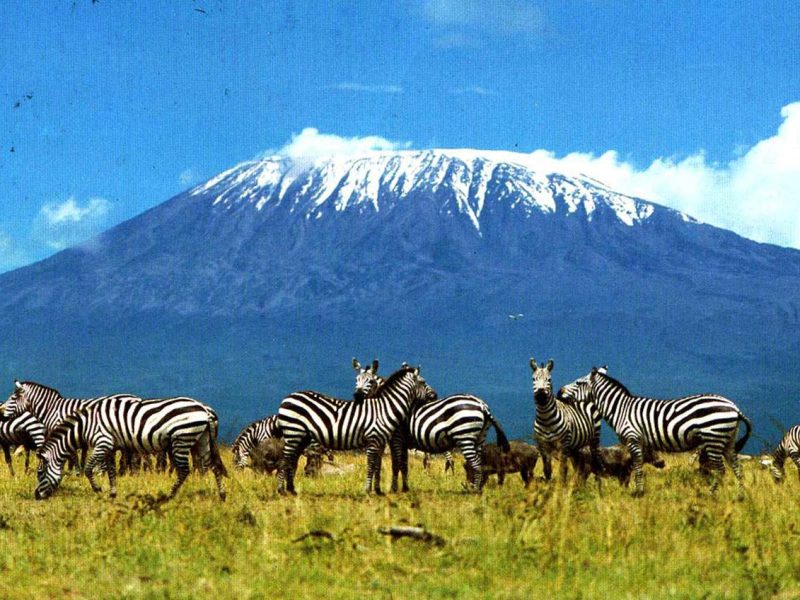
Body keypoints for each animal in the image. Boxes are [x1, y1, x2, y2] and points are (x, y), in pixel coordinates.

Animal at [34, 394, 227, 502]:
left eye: (40, 473)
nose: (36, 496)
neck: (84, 426)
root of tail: (204, 409)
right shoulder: (110, 447)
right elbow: (111, 471)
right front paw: (112, 494)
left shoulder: (102, 442)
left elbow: (88, 469)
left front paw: (98, 489)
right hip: (201, 440)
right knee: (213, 466)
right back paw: (222, 495)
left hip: (182, 438)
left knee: (184, 470)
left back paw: (170, 495)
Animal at [276, 364, 438, 494]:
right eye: (423, 382)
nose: (435, 395)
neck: (385, 408)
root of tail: (287, 398)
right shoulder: (373, 440)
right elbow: (371, 465)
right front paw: (367, 490)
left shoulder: (380, 442)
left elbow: (378, 466)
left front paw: (377, 491)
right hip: (293, 433)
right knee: (285, 461)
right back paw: (281, 490)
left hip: (300, 437)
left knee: (292, 461)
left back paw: (291, 490)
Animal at [354, 356, 506, 492]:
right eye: (356, 380)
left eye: (370, 381)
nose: (357, 396)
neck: (390, 404)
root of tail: (482, 405)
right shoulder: (402, 442)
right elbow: (404, 465)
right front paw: (404, 488)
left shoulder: (395, 438)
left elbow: (396, 464)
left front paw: (393, 489)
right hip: (479, 438)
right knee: (477, 463)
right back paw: (476, 487)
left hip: (464, 436)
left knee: (473, 463)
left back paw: (474, 490)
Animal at [556, 368, 752, 494]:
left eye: (579, 382)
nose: (558, 391)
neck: (620, 409)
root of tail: (734, 407)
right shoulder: (639, 442)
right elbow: (637, 466)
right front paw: (636, 491)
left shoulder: (633, 438)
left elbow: (637, 467)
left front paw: (638, 493)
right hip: (727, 440)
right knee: (737, 468)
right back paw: (740, 496)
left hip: (714, 438)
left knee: (721, 470)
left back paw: (713, 494)